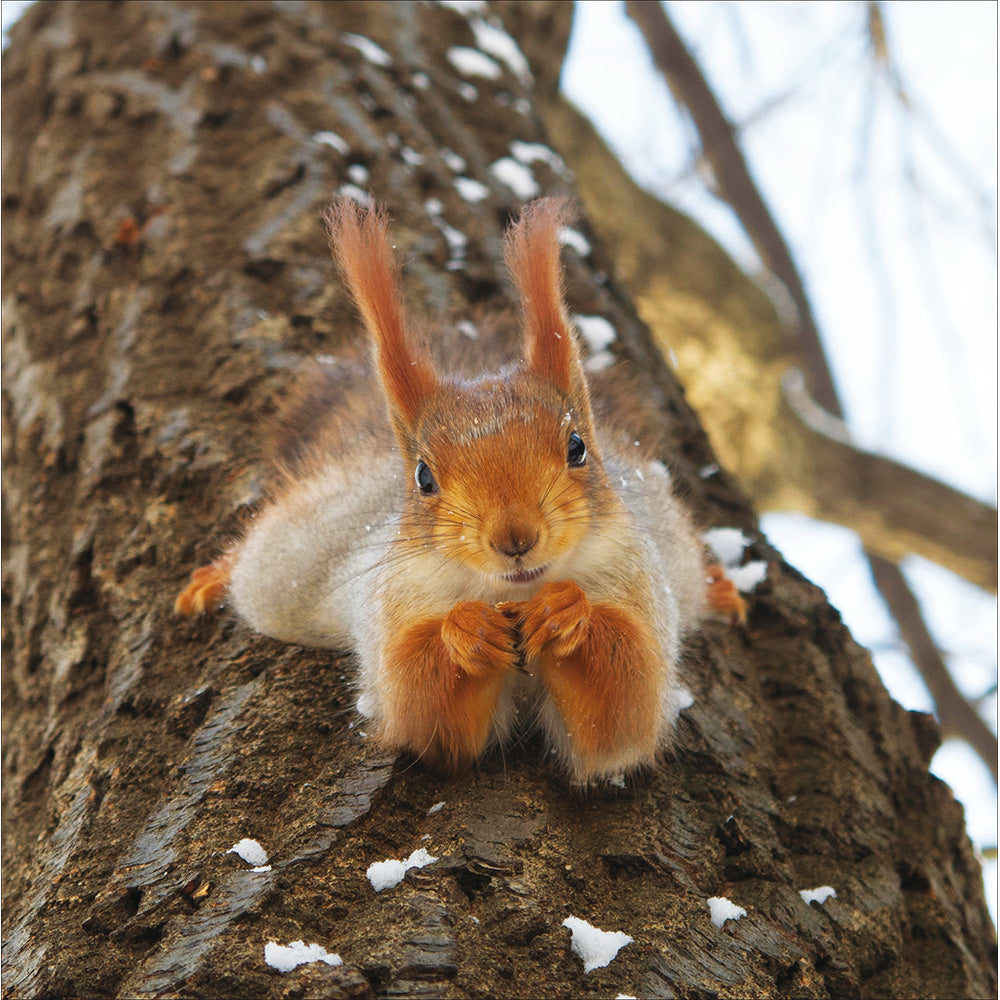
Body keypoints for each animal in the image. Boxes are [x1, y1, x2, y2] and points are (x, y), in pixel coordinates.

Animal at [175, 196, 746, 785]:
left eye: (578, 447)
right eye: (423, 477)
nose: (515, 539)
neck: (513, 593)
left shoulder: (637, 584)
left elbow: (623, 711)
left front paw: (567, 611)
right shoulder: (393, 606)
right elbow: (422, 710)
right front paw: (467, 630)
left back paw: (719, 588)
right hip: (292, 557)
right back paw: (211, 579)